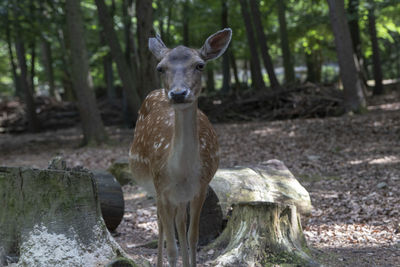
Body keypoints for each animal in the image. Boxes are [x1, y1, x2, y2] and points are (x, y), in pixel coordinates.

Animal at [129, 28, 231, 266]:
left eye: (200, 65)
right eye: (160, 67)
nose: (177, 93)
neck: (181, 172)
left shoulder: (200, 188)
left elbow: (193, 237)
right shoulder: (162, 188)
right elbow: (171, 247)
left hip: (180, 197)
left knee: (180, 223)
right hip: (154, 189)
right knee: (160, 223)